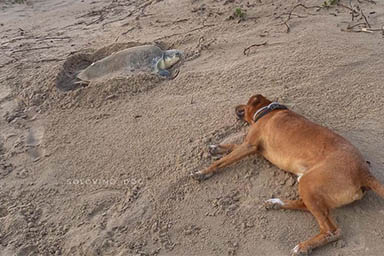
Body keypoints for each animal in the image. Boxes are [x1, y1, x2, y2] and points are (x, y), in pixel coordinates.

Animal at [192, 94, 384, 256]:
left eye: (245, 104)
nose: (234, 107)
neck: (269, 110)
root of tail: (363, 171)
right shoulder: (254, 148)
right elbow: (231, 147)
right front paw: (217, 147)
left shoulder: (250, 145)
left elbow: (222, 161)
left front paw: (203, 172)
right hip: (308, 185)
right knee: (307, 207)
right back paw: (276, 203)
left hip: (308, 183)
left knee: (332, 230)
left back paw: (304, 246)